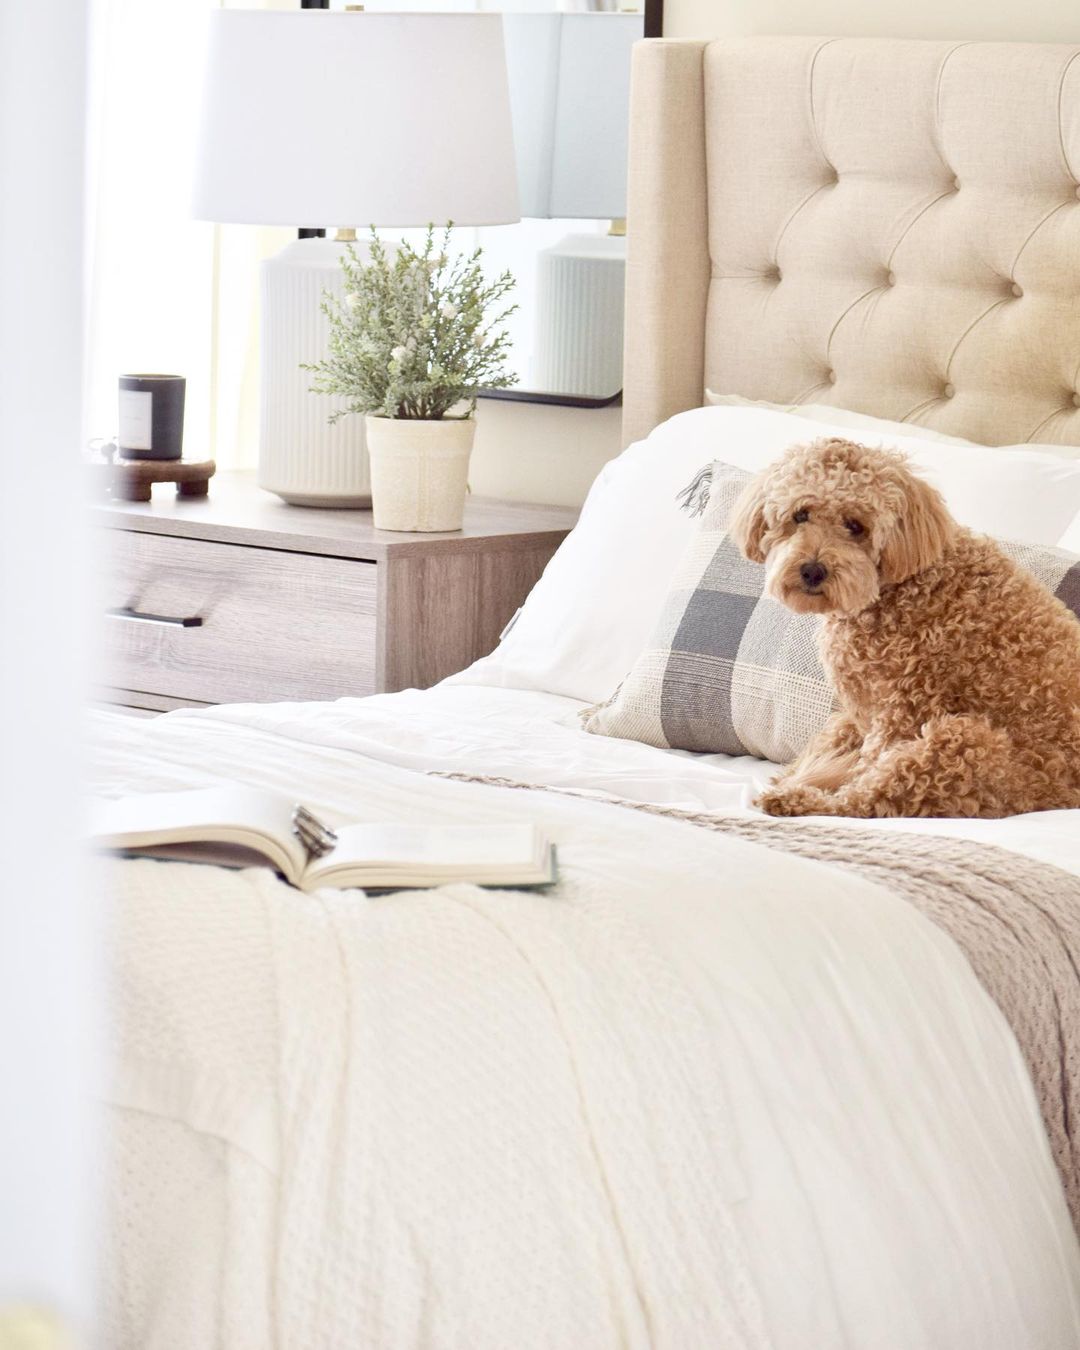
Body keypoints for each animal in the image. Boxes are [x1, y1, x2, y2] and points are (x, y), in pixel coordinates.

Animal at [729, 442, 1080, 815]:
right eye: (800, 515)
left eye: (855, 525)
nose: (812, 570)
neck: (900, 585)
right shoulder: (862, 711)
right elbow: (835, 738)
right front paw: (799, 772)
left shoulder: (905, 708)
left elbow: (869, 763)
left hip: (962, 745)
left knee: (867, 799)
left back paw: (797, 801)